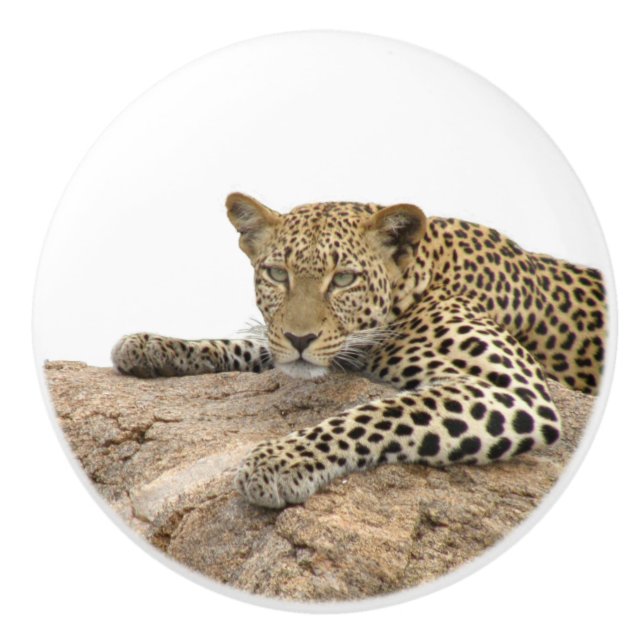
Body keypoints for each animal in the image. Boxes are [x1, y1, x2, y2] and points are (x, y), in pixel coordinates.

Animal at [112, 193, 606, 509]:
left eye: (345, 279)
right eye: (277, 274)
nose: (301, 339)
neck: (419, 275)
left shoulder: (512, 388)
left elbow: (380, 413)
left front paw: (277, 462)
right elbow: (251, 344)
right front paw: (149, 346)